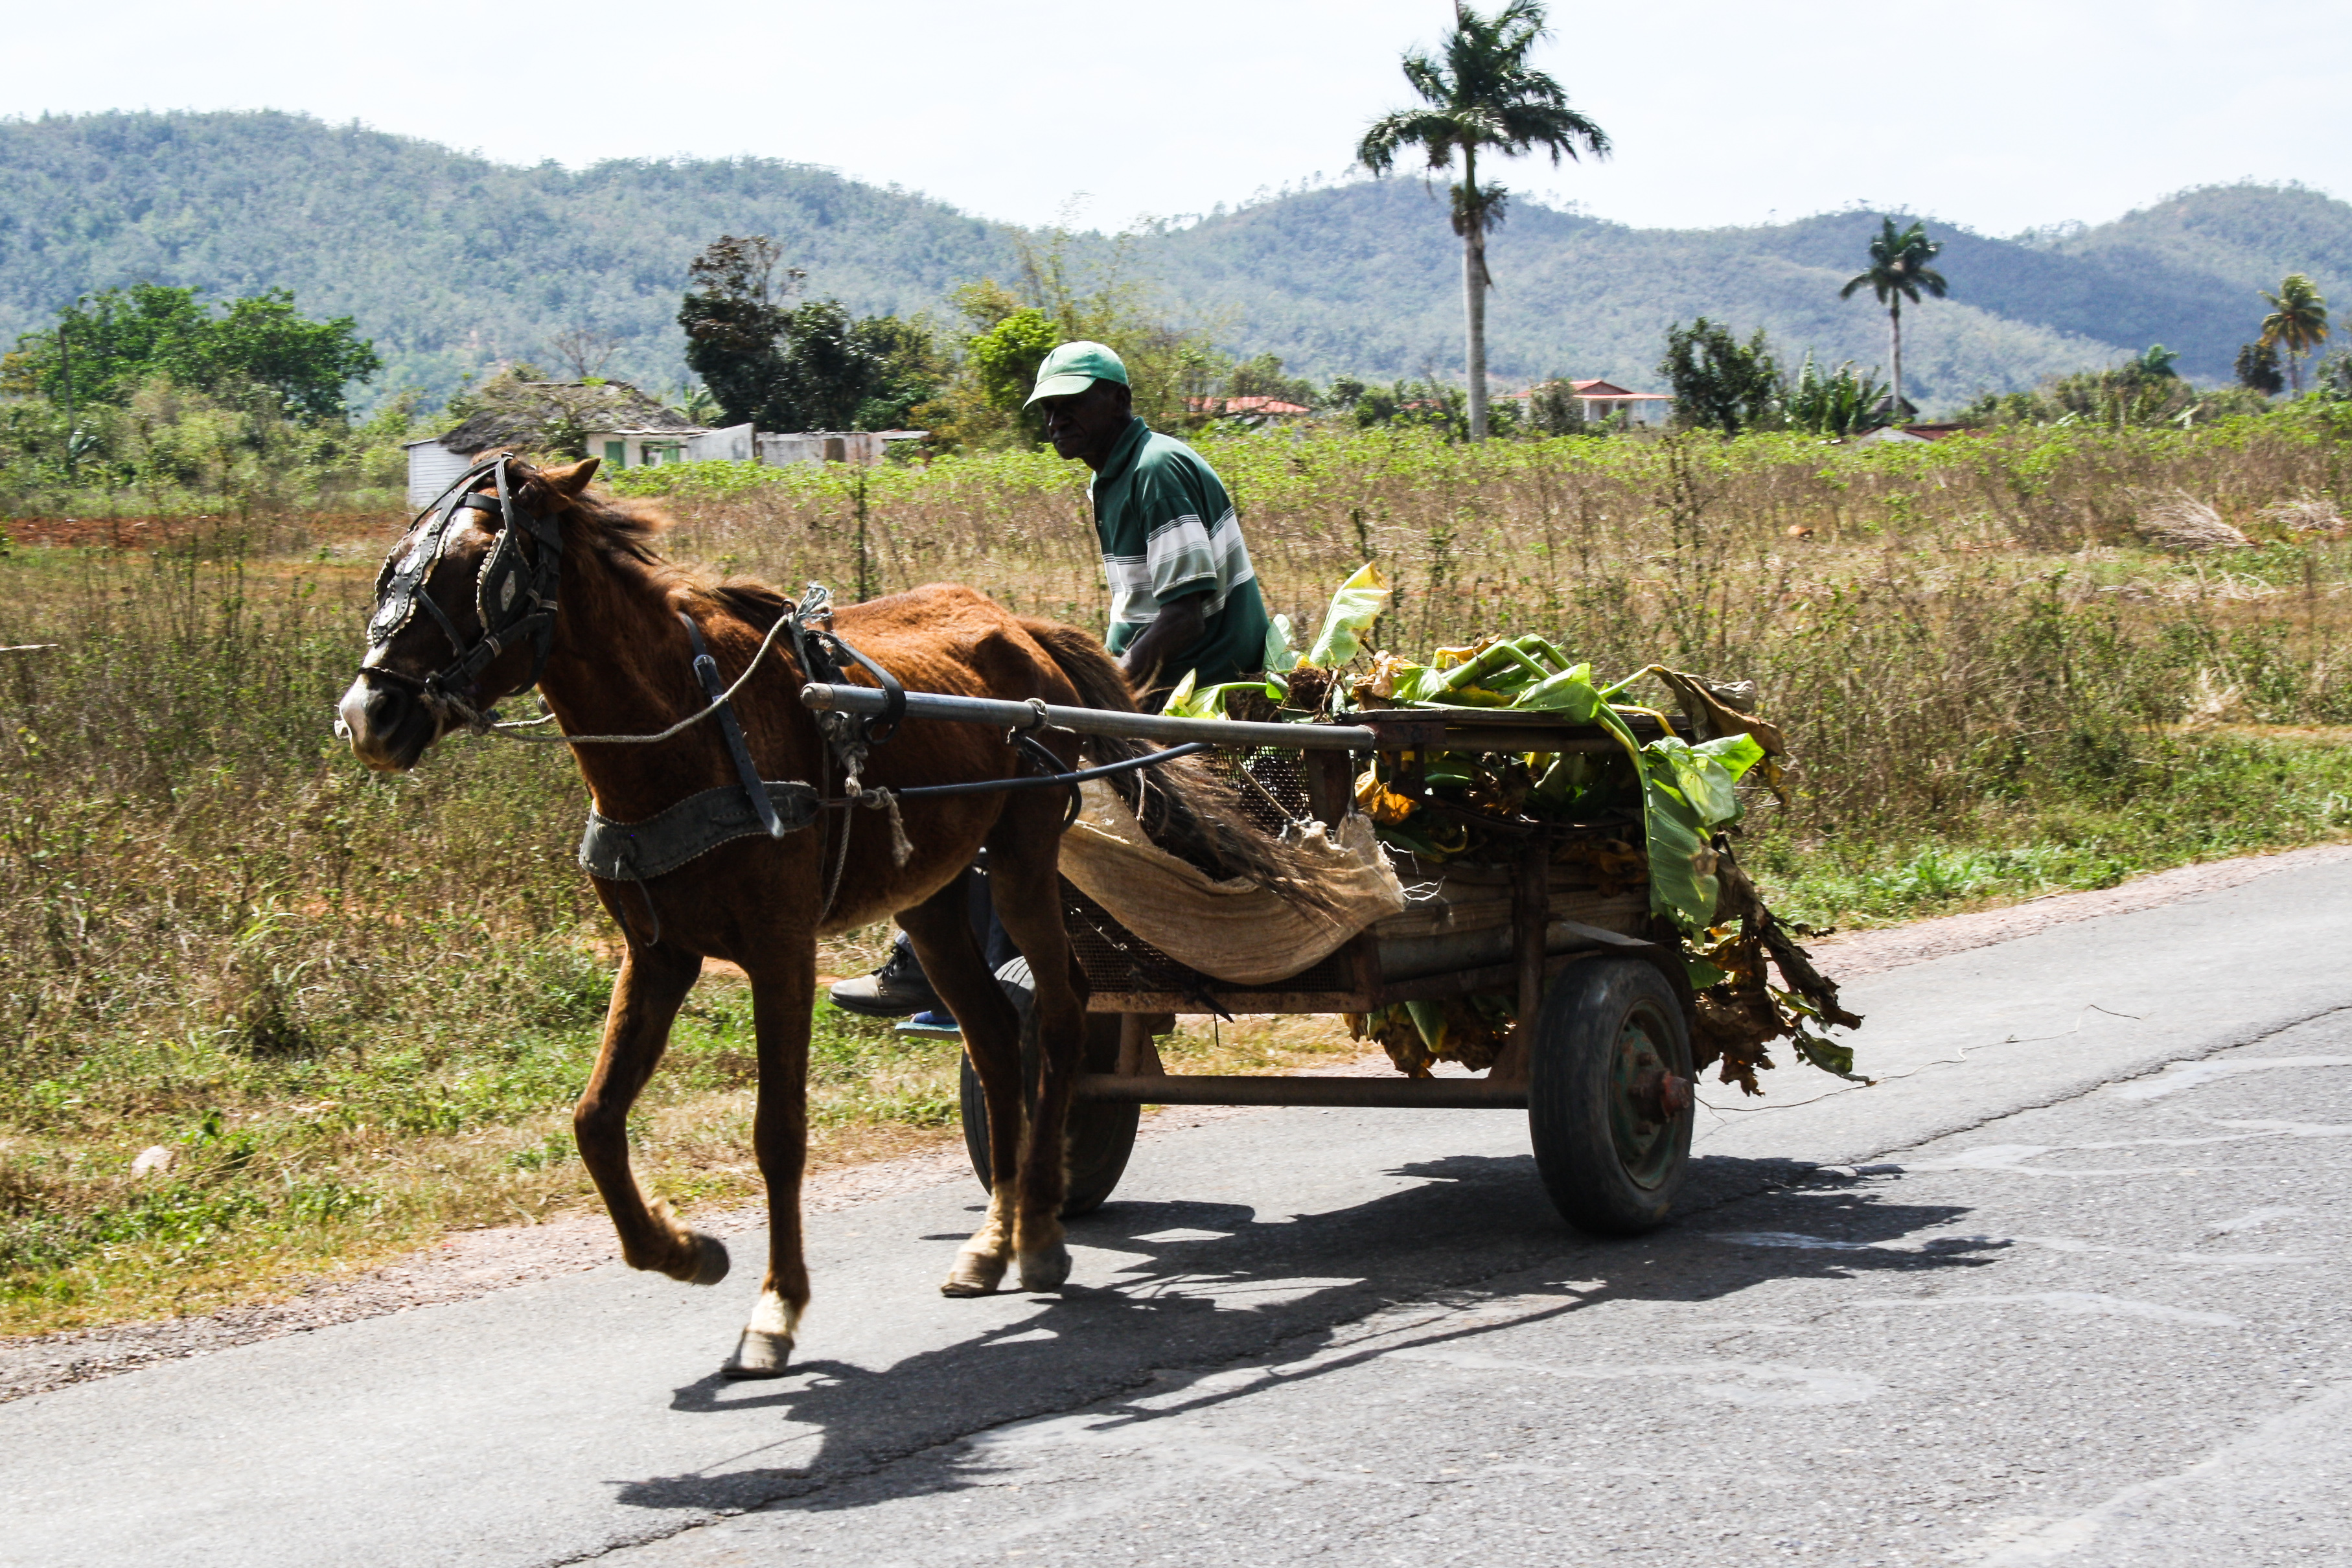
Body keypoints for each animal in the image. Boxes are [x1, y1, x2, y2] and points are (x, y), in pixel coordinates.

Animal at [336, 453, 1300, 1378]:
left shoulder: (780, 951)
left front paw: (776, 1309)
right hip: (933, 895)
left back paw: (1038, 1235)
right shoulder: (656, 952)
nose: (368, 714)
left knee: (1059, 1012)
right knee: (994, 1036)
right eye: (392, 565)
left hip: (1025, 858)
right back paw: (990, 1243)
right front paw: (681, 1250)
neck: (688, 729)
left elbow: (778, 1132)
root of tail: (1025, 632)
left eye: (475, 570)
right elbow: (595, 1119)